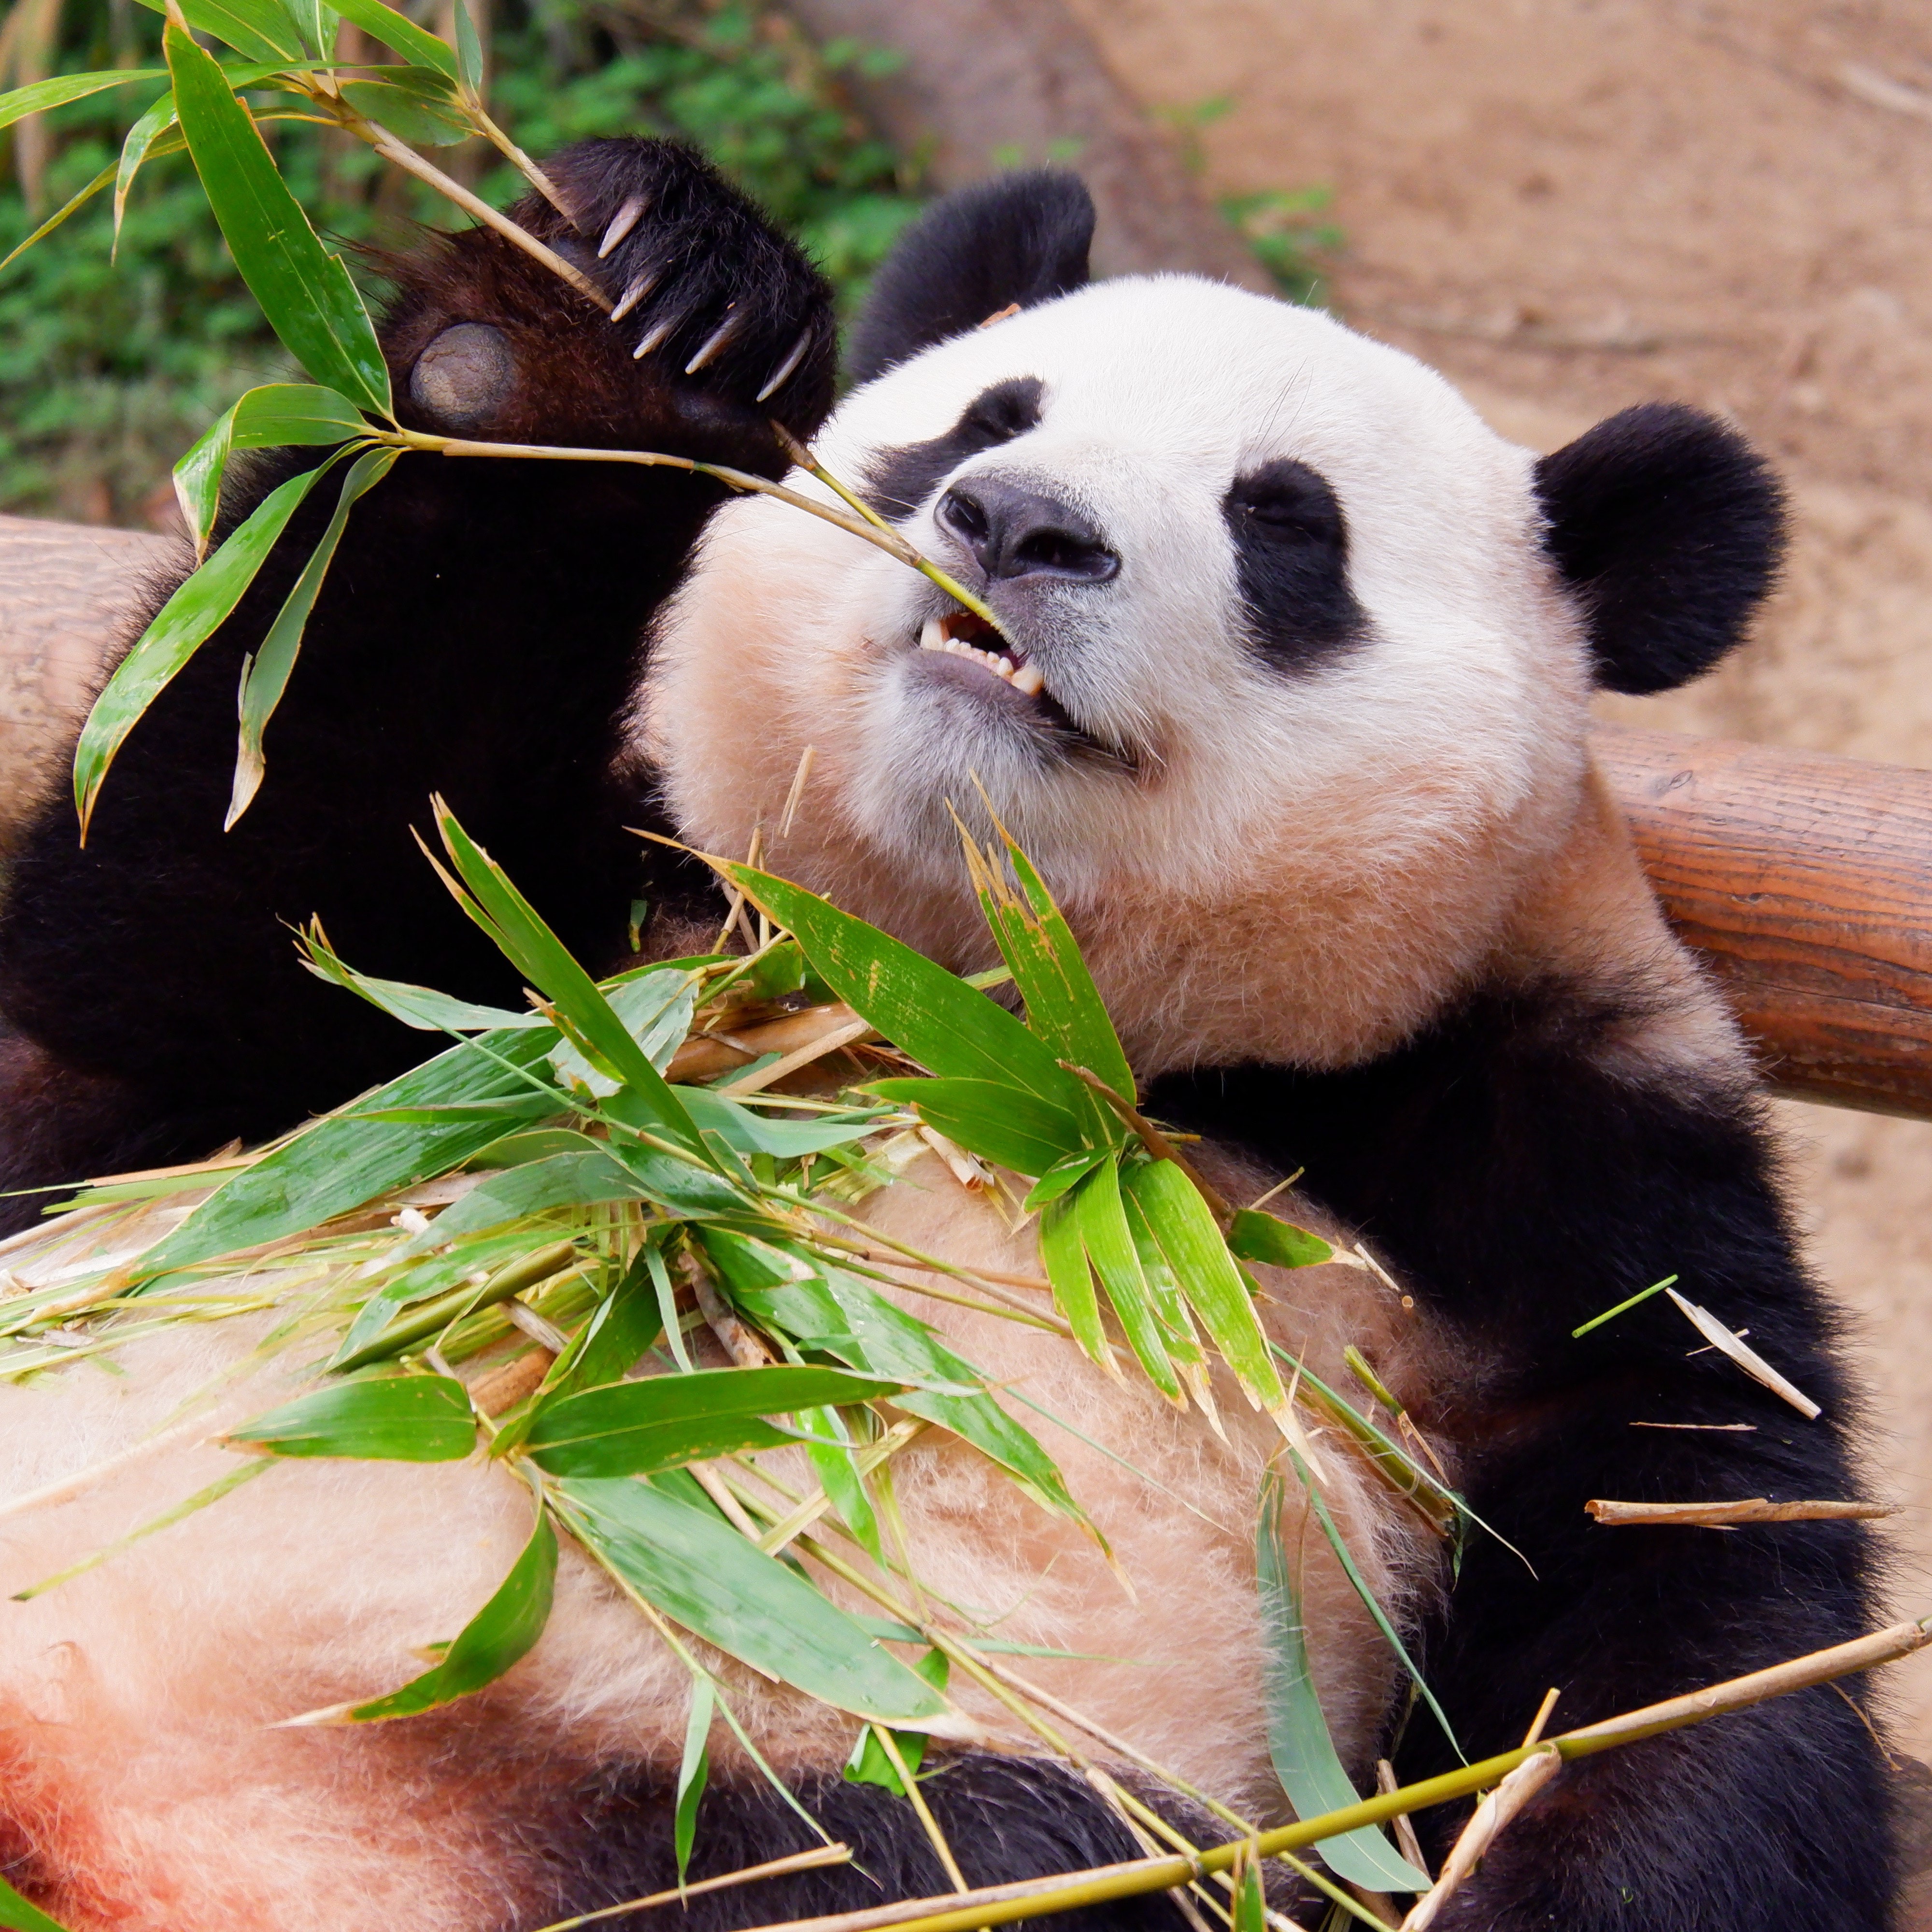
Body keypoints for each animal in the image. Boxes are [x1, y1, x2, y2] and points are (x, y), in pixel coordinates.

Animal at [0, 140, 1886, 1932]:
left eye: (1286, 524)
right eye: (984, 420)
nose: (1020, 524)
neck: (1010, 1020)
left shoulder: (1548, 1162)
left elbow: (1689, 1600)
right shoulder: (562, 959)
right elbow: (186, 939)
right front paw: (597, 328)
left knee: (985, 1860)